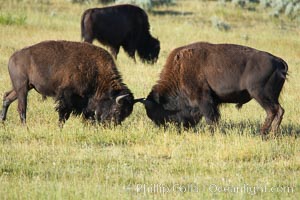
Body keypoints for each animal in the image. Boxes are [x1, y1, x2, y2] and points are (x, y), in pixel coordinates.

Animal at [0, 39, 141, 126]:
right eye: (117, 110)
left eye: (126, 114)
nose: (111, 125)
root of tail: (12, 58)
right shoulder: (67, 95)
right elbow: (63, 113)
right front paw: (60, 126)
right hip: (22, 87)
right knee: (21, 107)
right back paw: (25, 126)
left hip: (25, 87)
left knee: (7, 97)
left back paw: (3, 121)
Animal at [141, 41, 288, 137]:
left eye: (160, 112)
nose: (164, 128)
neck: (180, 69)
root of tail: (278, 61)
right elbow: (215, 117)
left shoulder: (203, 98)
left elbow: (210, 118)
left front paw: (213, 133)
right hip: (271, 97)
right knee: (280, 110)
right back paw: (273, 135)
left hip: (259, 94)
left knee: (272, 111)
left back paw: (262, 133)